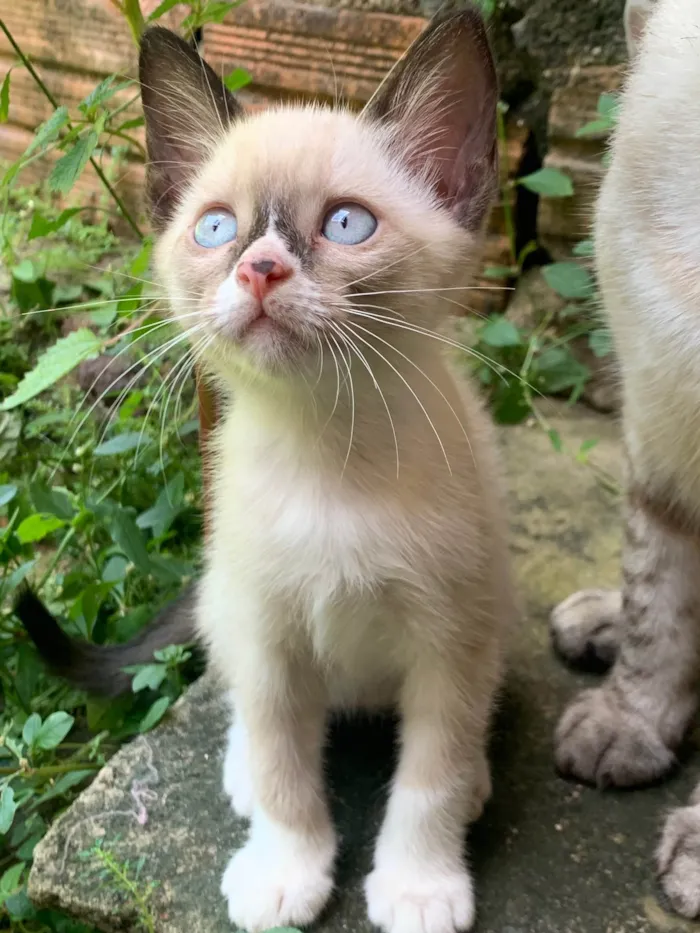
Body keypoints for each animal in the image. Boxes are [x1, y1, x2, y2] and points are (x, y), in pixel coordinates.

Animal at [135, 12, 516, 932]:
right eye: (215, 229)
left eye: (345, 226)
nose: (259, 268)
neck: (328, 456)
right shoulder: (269, 638)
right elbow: (284, 770)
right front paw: (284, 872)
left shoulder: (453, 645)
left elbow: (431, 776)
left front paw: (419, 886)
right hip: (223, 600)